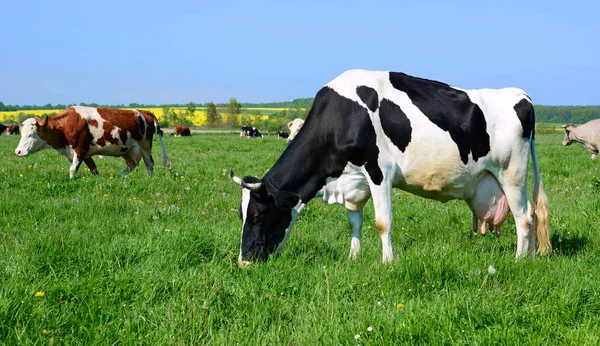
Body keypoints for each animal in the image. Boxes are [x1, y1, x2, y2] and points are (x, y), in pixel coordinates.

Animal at [15, 105, 171, 178]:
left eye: (31, 134)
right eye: (21, 133)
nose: (18, 151)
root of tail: (143, 111)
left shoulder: (80, 149)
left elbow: (72, 169)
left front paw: (70, 181)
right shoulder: (85, 153)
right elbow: (93, 169)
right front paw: (99, 180)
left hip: (145, 145)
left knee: (149, 163)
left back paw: (149, 178)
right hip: (129, 149)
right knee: (133, 164)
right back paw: (121, 176)